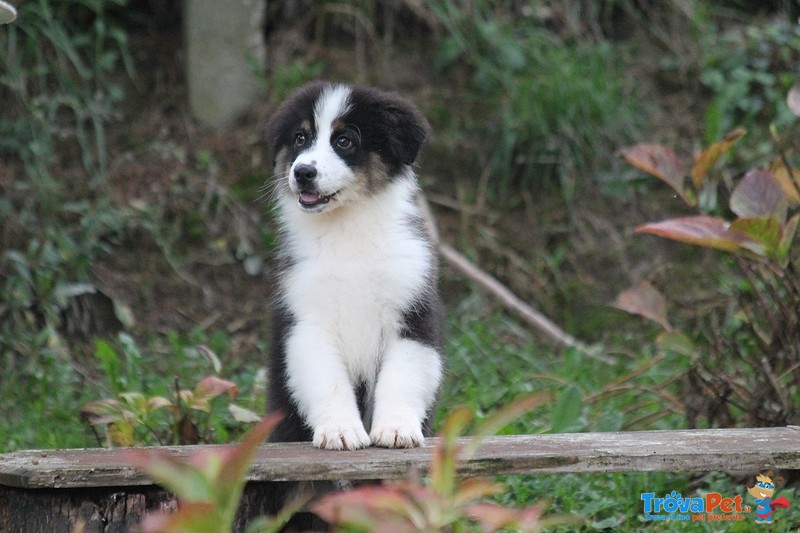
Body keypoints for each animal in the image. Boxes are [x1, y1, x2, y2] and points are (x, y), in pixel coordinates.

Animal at [268, 81, 444, 450]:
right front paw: (340, 430)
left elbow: (402, 376)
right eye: (300, 138)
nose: (302, 172)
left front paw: (396, 429)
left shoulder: (412, 312)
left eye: (345, 141)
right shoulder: (308, 318)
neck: (347, 230)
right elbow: (328, 379)